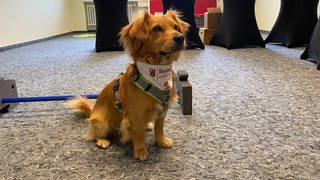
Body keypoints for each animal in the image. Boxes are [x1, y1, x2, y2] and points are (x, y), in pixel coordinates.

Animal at [66, 10, 189, 160]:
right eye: (157, 28)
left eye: (176, 27)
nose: (180, 38)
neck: (156, 75)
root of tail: (92, 112)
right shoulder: (136, 115)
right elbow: (139, 133)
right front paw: (140, 150)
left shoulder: (162, 112)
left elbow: (159, 128)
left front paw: (161, 141)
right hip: (101, 122)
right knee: (94, 135)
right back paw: (102, 141)